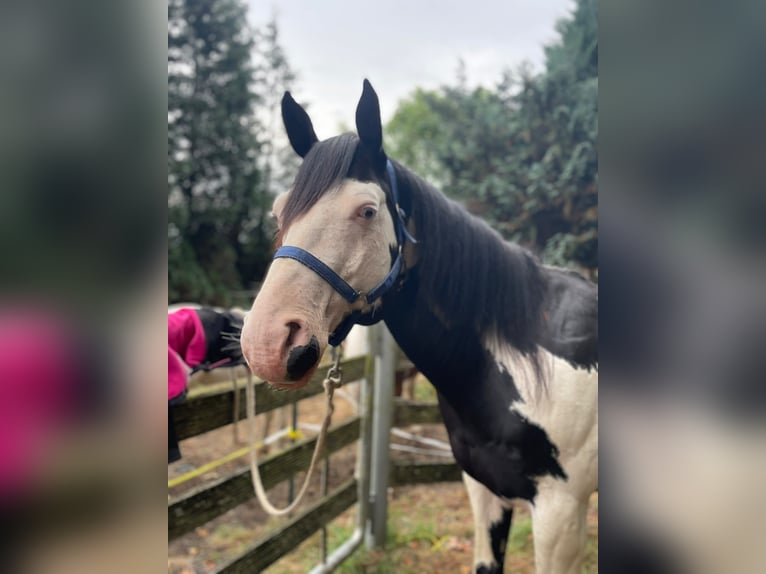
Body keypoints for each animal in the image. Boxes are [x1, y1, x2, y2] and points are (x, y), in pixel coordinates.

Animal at [240, 80, 598, 574]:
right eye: (279, 213)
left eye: (367, 211)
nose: (266, 343)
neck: (518, 360)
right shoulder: (485, 493)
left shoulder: (560, 515)